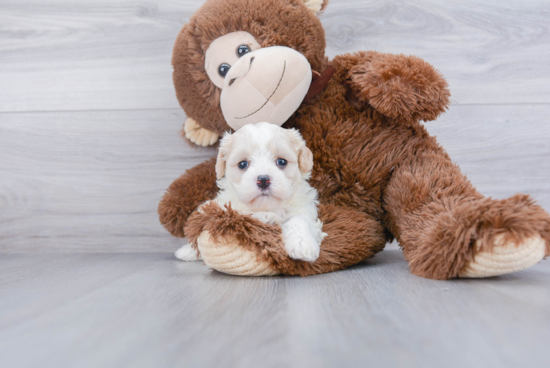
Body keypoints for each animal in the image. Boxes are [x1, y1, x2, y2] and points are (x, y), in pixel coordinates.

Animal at [176, 122, 328, 264]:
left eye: (281, 162)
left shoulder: (305, 209)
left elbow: (299, 220)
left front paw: (302, 245)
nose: (263, 180)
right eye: (242, 164)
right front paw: (188, 250)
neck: (266, 208)